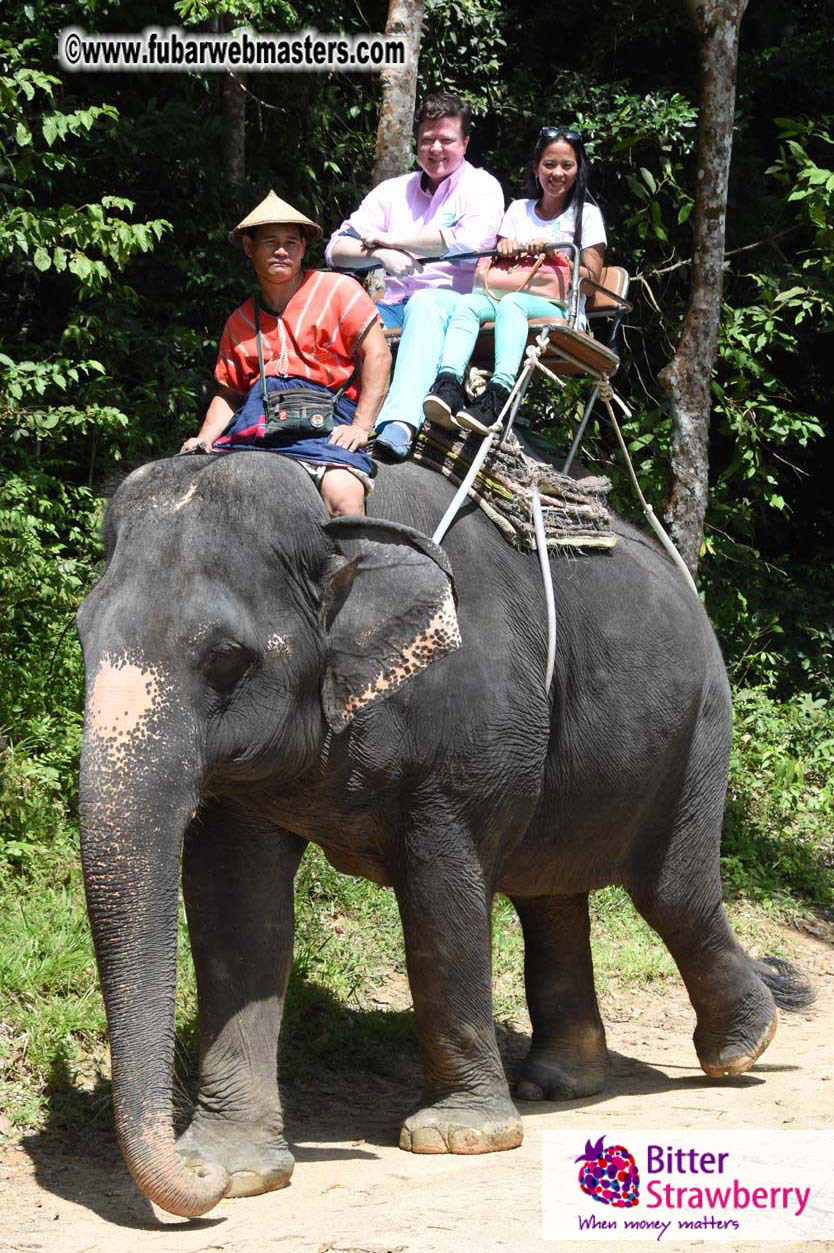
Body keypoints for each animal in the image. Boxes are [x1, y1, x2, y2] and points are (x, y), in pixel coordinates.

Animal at [76, 449, 811, 1219]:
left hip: (699, 732)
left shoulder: (467, 741)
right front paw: (232, 1168)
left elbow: (441, 891)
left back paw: (741, 1051)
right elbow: (237, 908)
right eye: (82, 638)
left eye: (225, 659)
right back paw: (557, 1083)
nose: (201, 1190)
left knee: (672, 892)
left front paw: (457, 1138)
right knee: (551, 894)